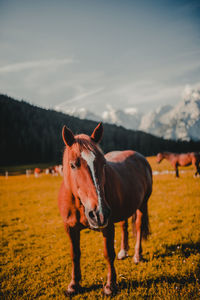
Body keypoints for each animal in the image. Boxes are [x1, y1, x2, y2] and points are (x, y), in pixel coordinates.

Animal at [58, 122, 152, 296]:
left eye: (103, 163)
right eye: (73, 165)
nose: (98, 214)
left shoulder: (107, 226)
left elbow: (108, 254)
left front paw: (110, 286)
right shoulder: (70, 228)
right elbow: (75, 254)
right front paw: (73, 285)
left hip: (142, 205)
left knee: (138, 227)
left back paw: (137, 255)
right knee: (124, 226)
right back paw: (124, 251)